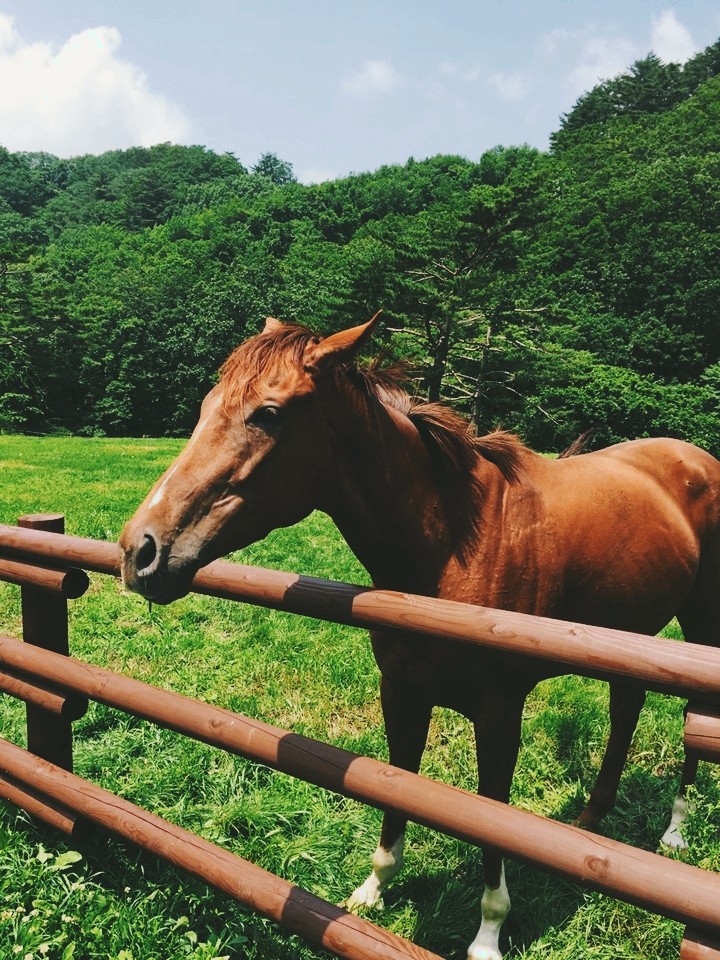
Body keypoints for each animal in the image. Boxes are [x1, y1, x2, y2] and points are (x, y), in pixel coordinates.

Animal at [119, 315, 720, 960]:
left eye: (269, 414)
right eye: (207, 405)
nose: (139, 550)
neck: (454, 546)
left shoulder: (499, 715)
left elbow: (491, 822)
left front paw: (488, 935)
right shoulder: (402, 694)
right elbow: (395, 789)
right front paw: (373, 891)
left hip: (698, 630)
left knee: (693, 720)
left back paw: (676, 830)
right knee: (626, 707)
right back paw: (588, 824)